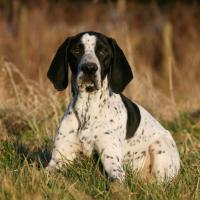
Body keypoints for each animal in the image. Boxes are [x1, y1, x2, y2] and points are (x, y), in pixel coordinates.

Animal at [46, 31, 180, 183]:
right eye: (76, 50)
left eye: (103, 51)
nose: (89, 68)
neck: (87, 111)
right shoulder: (58, 159)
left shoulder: (112, 161)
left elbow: (115, 181)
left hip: (159, 148)